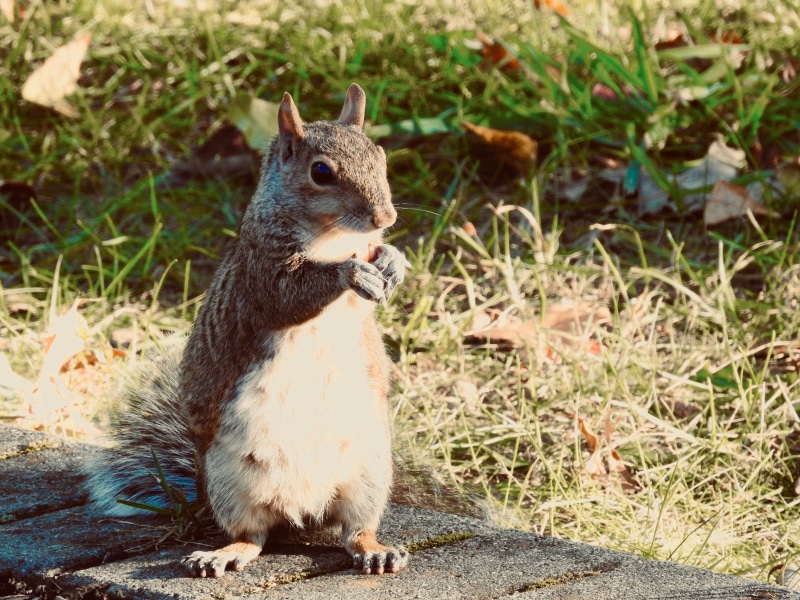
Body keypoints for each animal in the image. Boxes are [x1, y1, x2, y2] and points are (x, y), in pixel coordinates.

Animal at [85, 83, 410, 578]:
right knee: (252, 536)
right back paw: (222, 554)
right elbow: (291, 293)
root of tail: (304, 511)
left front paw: (393, 261)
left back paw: (375, 549)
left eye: (380, 155)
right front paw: (351, 272)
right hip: (230, 481)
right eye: (321, 172)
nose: (384, 216)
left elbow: (378, 261)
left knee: (355, 531)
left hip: (369, 472)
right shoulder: (261, 272)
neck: (334, 238)